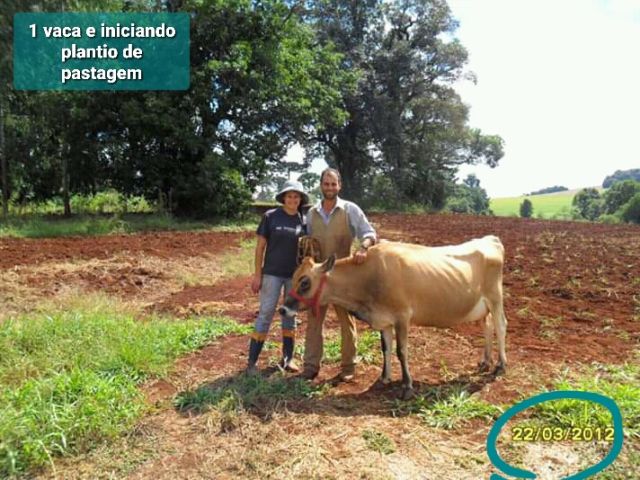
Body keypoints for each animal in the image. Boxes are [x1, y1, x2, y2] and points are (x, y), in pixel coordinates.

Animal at [280, 234, 510, 400]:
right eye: (293, 277)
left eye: (305, 282)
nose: (282, 309)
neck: (369, 278)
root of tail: (490, 239)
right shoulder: (384, 320)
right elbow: (386, 348)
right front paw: (384, 378)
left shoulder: (402, 317)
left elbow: (401, 351)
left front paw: (407, 386)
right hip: (482, 306)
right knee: (487, 326)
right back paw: (485, 361)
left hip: (495, 298)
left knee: (500, 326)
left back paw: (500, 365)